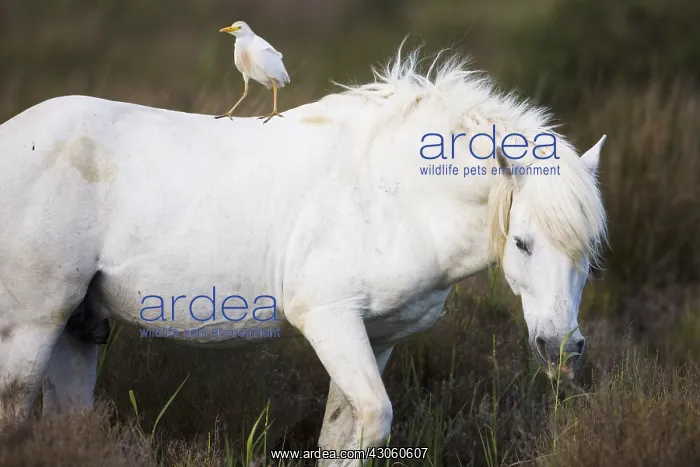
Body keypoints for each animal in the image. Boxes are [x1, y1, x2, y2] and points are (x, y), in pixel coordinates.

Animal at [0, 46, 606, 465]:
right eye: (523, 242)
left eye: (589, 255)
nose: (561, 348)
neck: (395, 194)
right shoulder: (329, 320)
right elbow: (372, 417)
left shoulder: (376, 337)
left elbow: (344, 432)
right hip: (34, 324)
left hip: (77, 327)